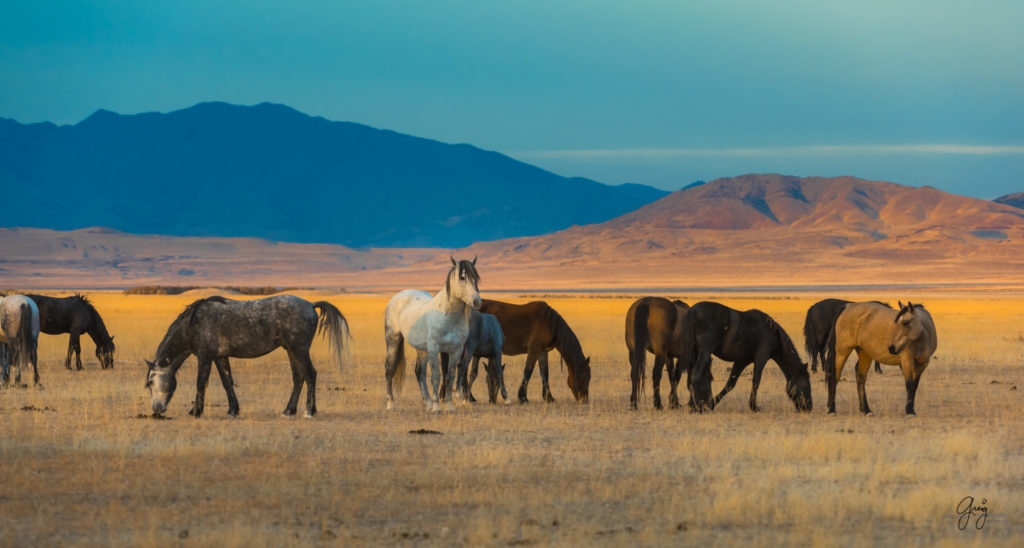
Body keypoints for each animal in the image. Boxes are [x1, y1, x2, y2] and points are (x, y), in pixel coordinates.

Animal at [144, 294, 352, 419]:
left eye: (152, 382)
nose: (157, 410)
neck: (193, 323)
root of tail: (310, 304)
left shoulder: (205, 356)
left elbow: (201, 382)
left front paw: (196, 411)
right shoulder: (220, 357)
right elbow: (227, 382)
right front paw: (232, 410)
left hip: (299, 350)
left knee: (310, 375)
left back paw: (309, 410)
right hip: (291, 350)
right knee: (298, 377)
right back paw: (289, 410)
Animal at [385, 257, 481, 411]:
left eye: (476, 278)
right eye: (462, 277)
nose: (477, 301)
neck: (447, 316)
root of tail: (399, 296)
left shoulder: (456, 350)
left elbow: (450, 377)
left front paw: (449, 406)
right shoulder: (434, 348)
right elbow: (436, 376)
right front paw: (437, 408)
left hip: (422, 349)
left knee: (419, 372)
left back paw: (427, 403)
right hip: (393, 340)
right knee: (390, 370)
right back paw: (391, 404)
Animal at [675, 303, 811, 413]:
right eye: (806, 383)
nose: (808, 407)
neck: (773, 332)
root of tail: (693, 311)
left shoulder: (742, 361)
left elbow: (730, 384)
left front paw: (712, 403)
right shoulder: (761, 358)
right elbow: (756, 381)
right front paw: (754, 407)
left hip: (695, 352)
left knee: (691, 376)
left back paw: (693, 405)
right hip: (705, 352)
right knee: (696, 375)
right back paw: (697, 407)